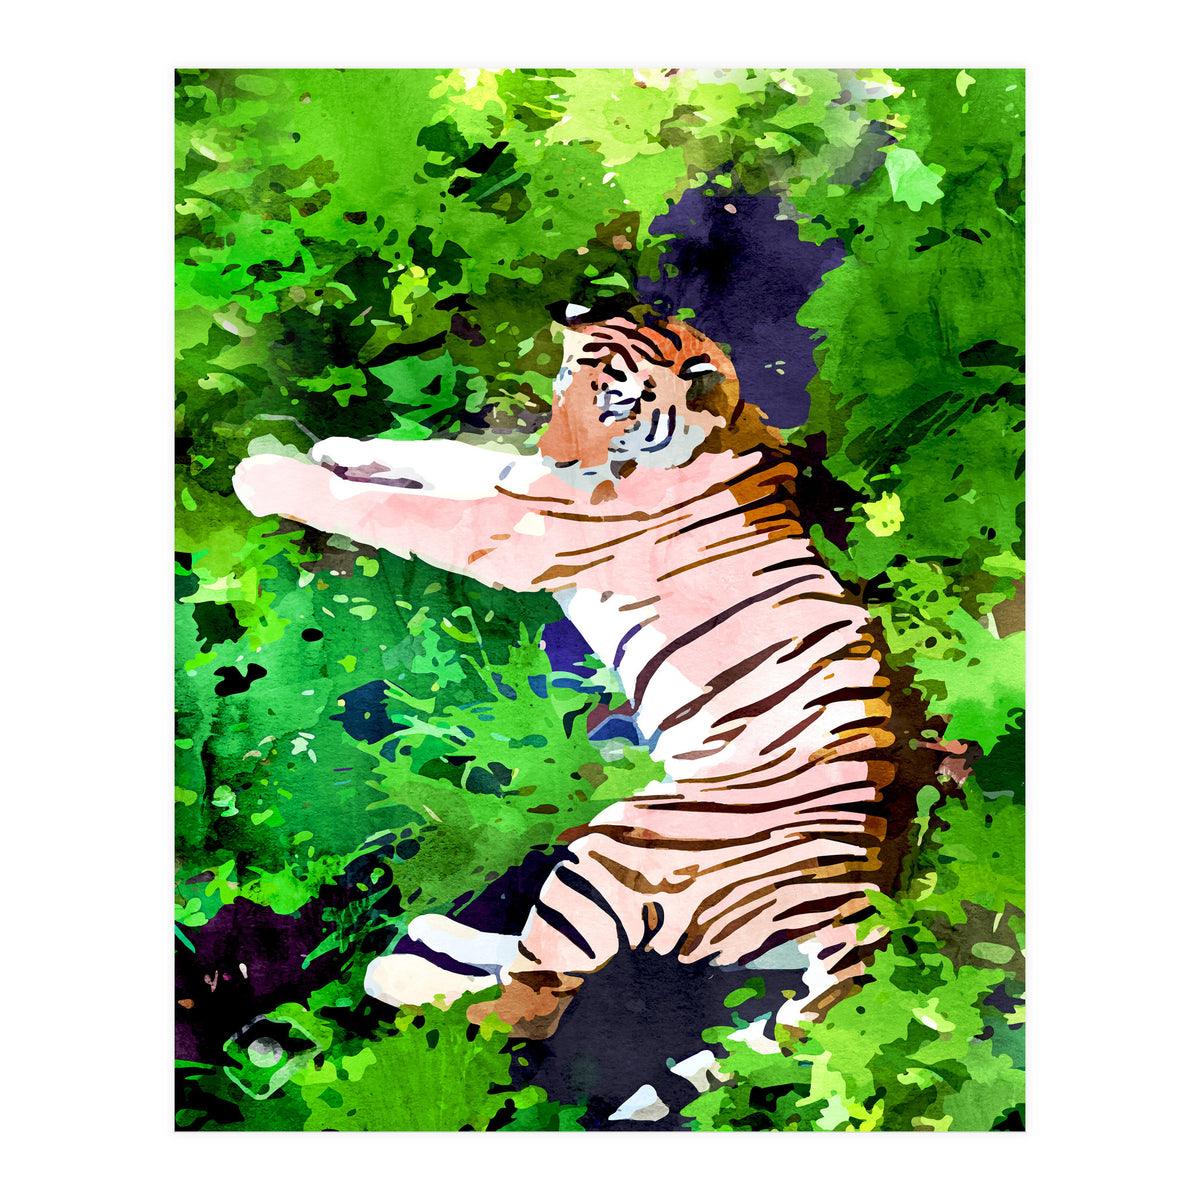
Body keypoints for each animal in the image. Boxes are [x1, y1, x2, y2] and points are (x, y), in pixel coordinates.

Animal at [233, 304, 932, 1044]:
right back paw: (435, 932)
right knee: (534, 963)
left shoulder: (510, 529)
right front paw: (340, 446)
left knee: (526, 1007)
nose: (560, 453)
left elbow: (387, 508)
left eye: (617, 407)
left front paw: (265, 476)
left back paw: (396, 975)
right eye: (566, 382)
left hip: (620, 850)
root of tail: (857, 904)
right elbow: (446, 455)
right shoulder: (519, 483)